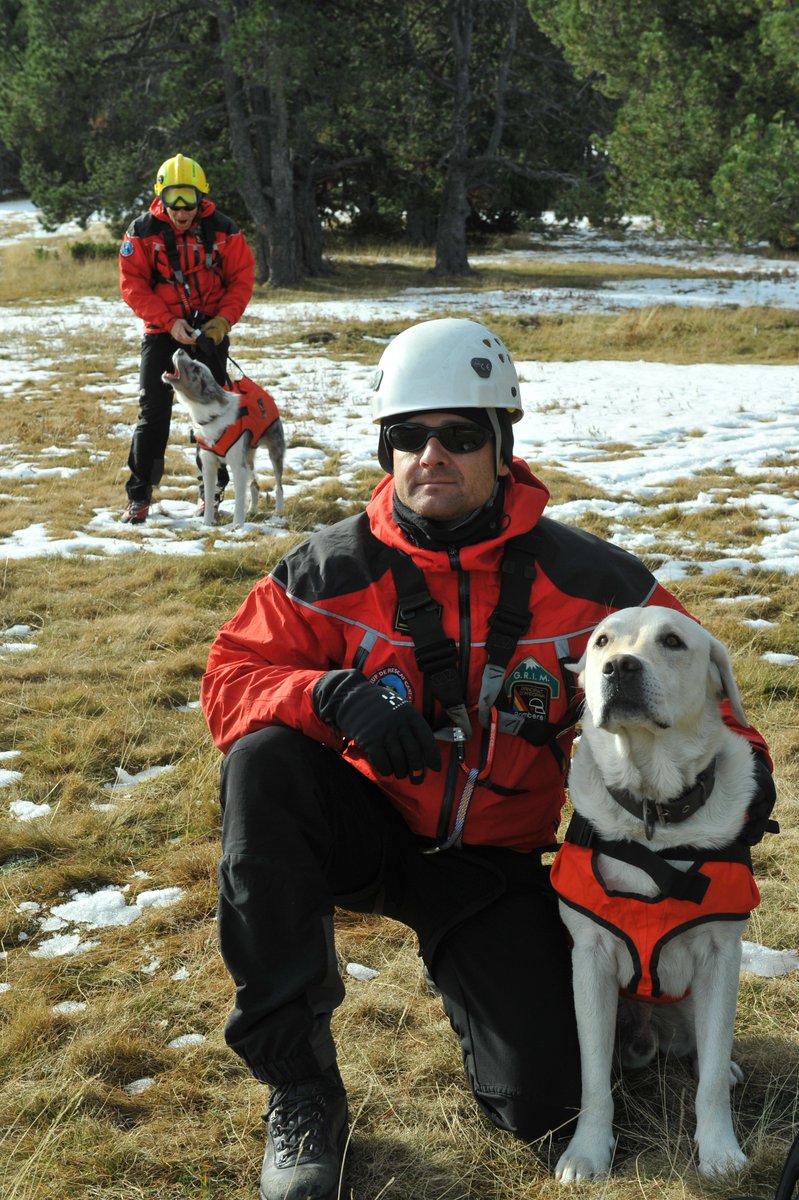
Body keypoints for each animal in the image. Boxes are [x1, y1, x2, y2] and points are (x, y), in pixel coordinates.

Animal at [551, 609, 758, 1180]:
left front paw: (720, 1151)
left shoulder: (720, 956)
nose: (618, 667)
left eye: (672, 641)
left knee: (709, 1053)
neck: (653, 817)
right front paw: (587, 1151)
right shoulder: (591, 961)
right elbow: (593, 1079)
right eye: (602, 641)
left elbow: (712, 1077)